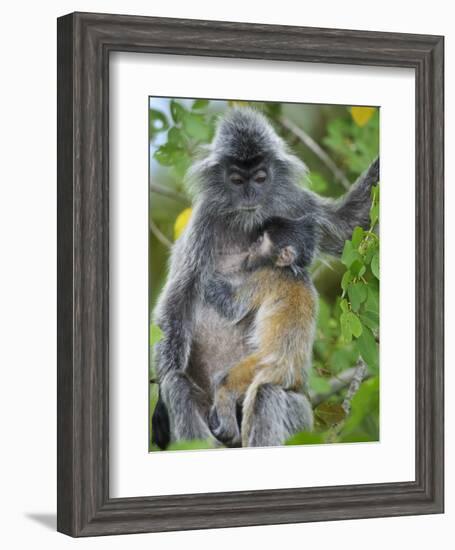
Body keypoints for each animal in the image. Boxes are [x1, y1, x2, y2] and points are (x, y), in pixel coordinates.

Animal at [207, 216, 318, 448]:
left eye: (260, 241)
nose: (250, 247)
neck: (293, 271)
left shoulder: (268, 274)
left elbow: (232, 307)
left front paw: (207, 278)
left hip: (262, 367)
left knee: (258, 393)